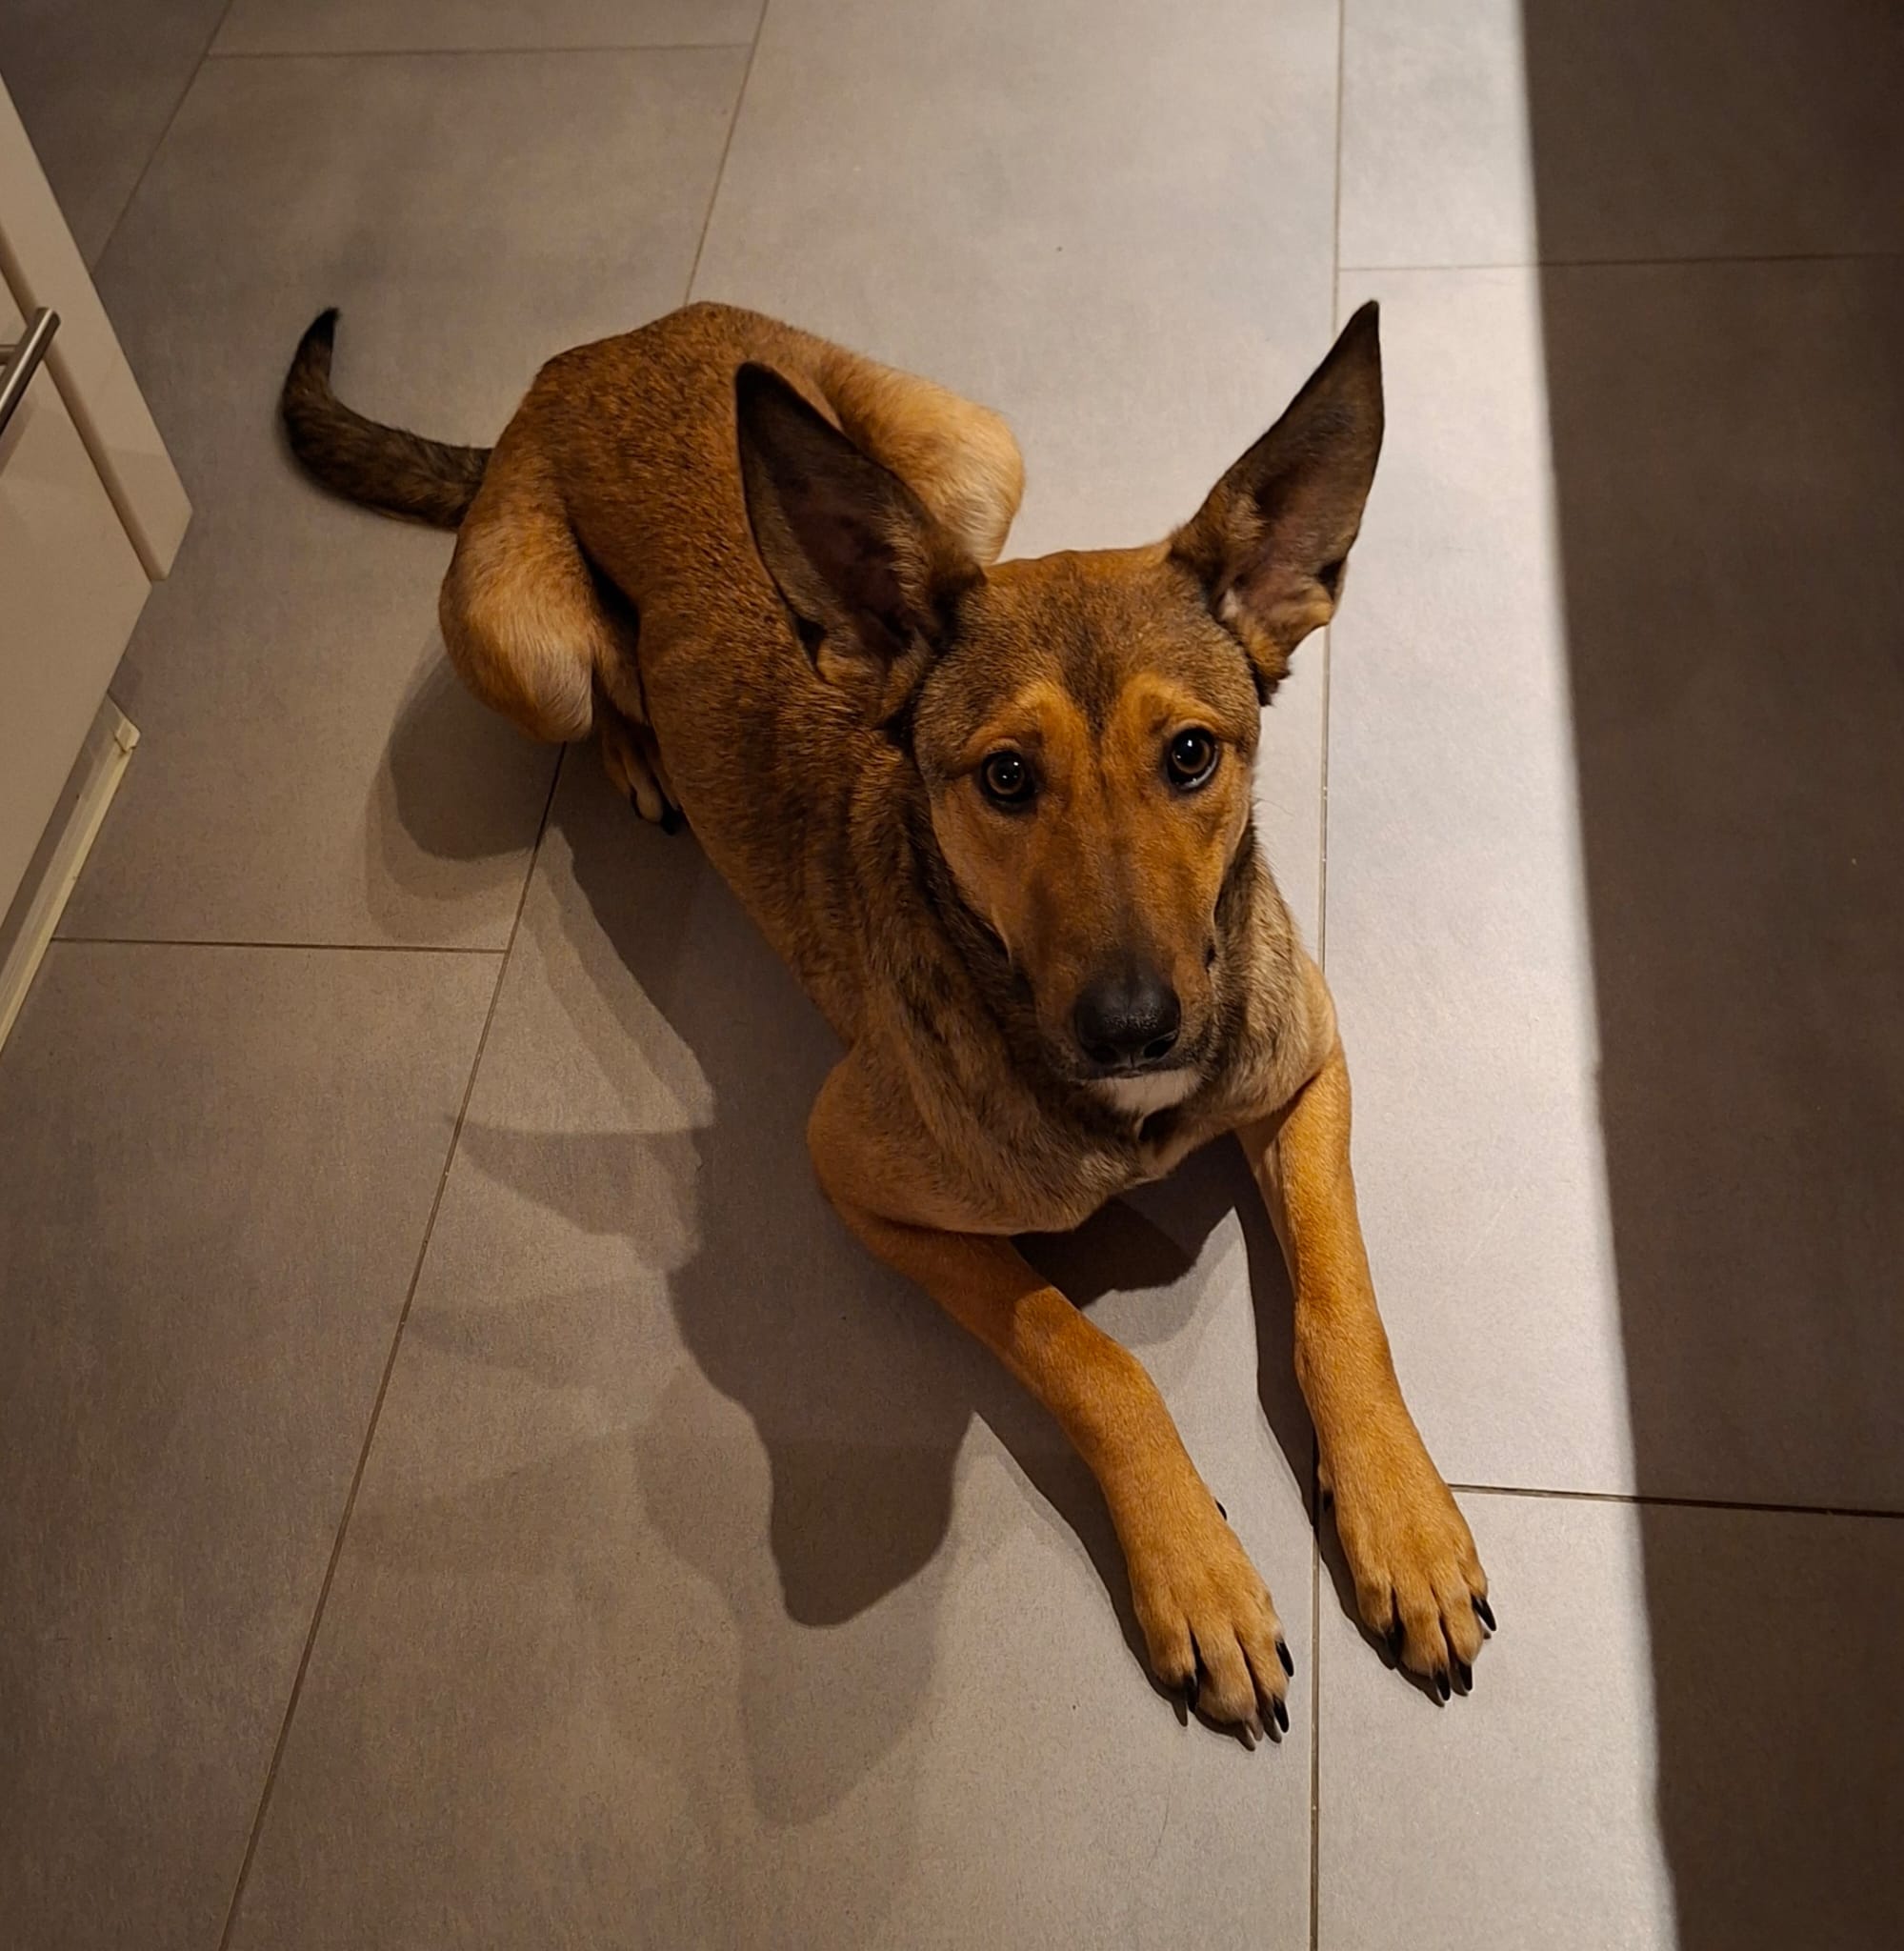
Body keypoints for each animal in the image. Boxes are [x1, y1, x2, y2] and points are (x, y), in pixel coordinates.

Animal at [282, 299, 1491, 1737]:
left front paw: (1403, 1526)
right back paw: (641, 749)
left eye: (1192, 754)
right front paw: (1195, 1574)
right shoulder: (856, 1182)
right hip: (523, 645)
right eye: (1005, 778)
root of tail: (589, 354)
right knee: (602, 681)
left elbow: (1340, 1304)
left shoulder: (1303, 1065)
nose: (1135, 1028)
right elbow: (1087, 1354)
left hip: (974, 450)